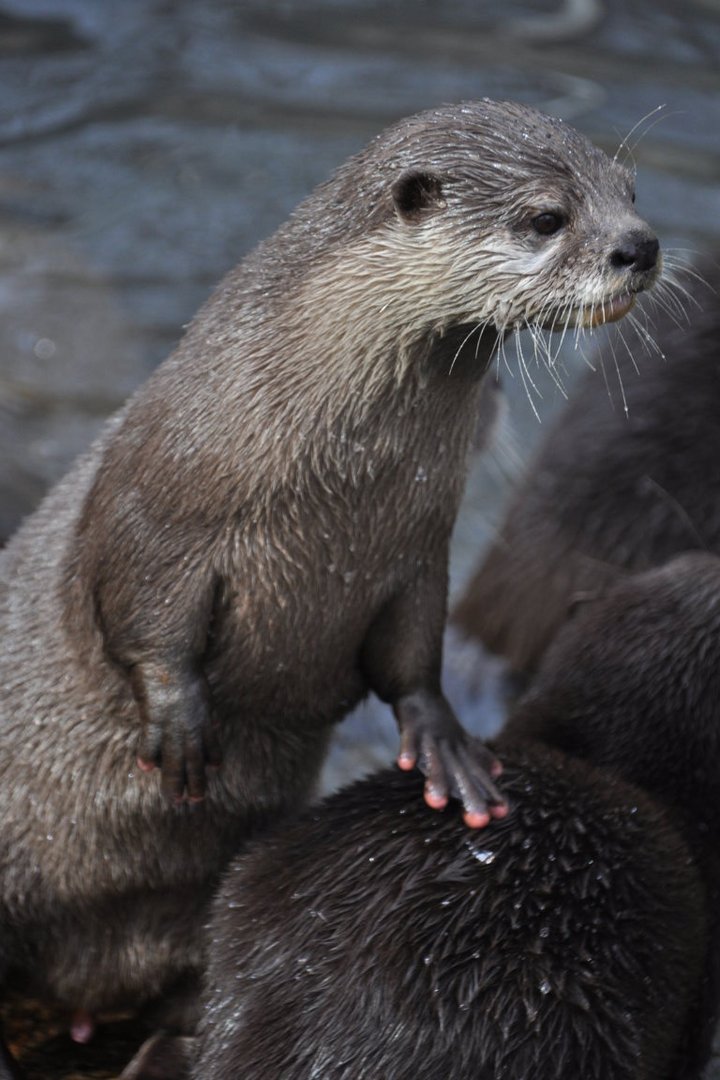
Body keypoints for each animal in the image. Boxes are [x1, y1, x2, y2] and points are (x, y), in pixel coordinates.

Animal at [0, 97, 660, 1075]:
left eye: (630, 190)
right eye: (546, 218)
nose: (641, 246)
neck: (337, 470)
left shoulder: (418, 549)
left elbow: (414, 656)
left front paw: (445, 743)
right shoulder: (162, 499)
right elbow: (139, 606)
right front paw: (181, 723)